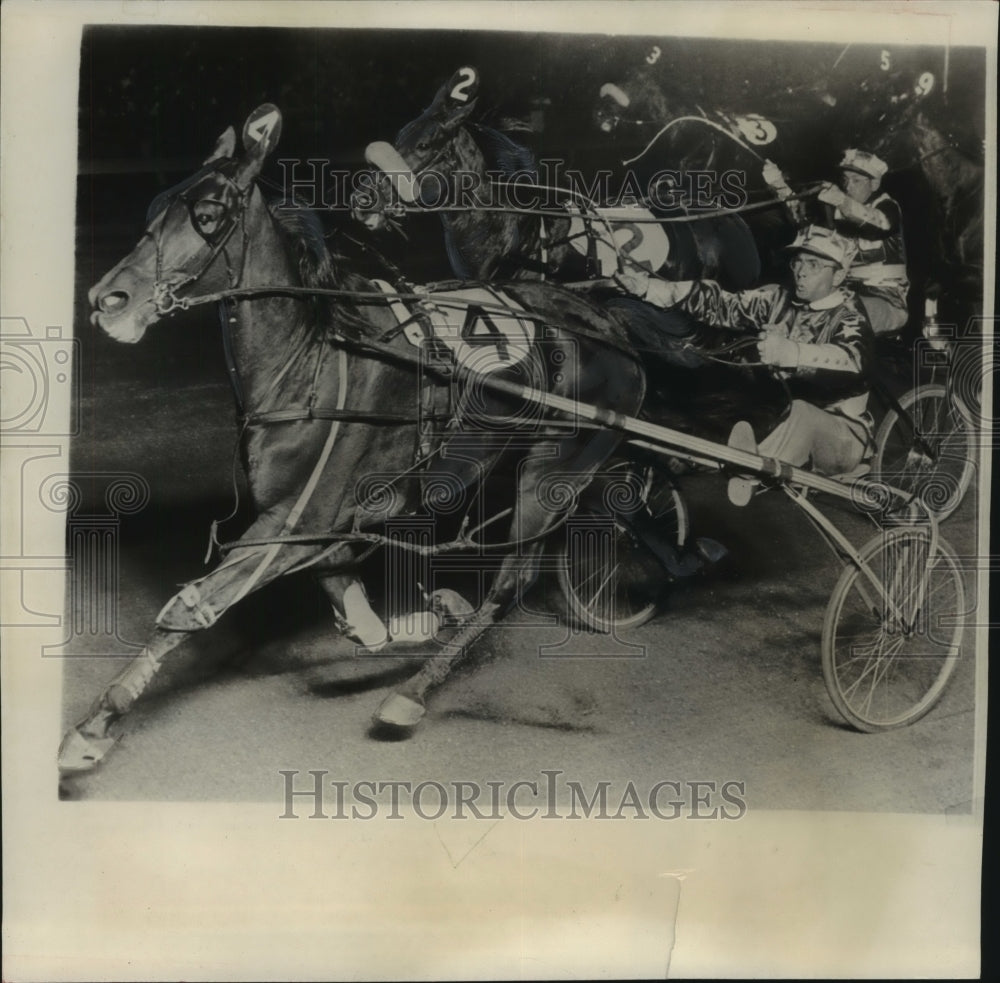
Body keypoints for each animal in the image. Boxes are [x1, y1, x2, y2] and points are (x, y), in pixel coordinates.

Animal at [56, 104, 648, 772]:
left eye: (207, 215)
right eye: (155, 208)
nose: (107, 298)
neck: (312, 359)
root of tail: (609, 322)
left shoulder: (298, 518)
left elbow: (193, 603)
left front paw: (94, 727)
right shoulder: (318, 524)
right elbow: (350, 597)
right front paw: (418, 617)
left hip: (552, 472)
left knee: (511, 583)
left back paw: (411, 694)